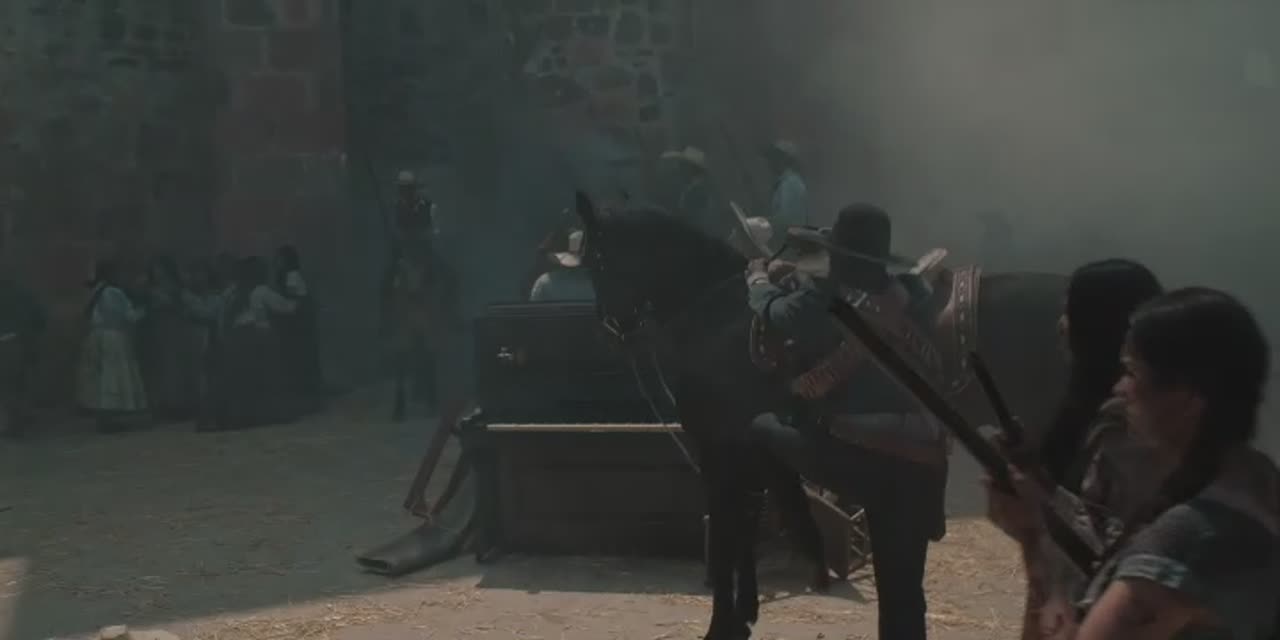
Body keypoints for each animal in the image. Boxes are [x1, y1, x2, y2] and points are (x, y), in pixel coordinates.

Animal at [573, 192, 1069, 639]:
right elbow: (744, 532)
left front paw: (722, 625)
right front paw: (744, 615)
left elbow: (730, 537)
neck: (719, 317)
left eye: (597, 258)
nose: (609, 324)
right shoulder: (743, 457)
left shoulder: (721, 453)